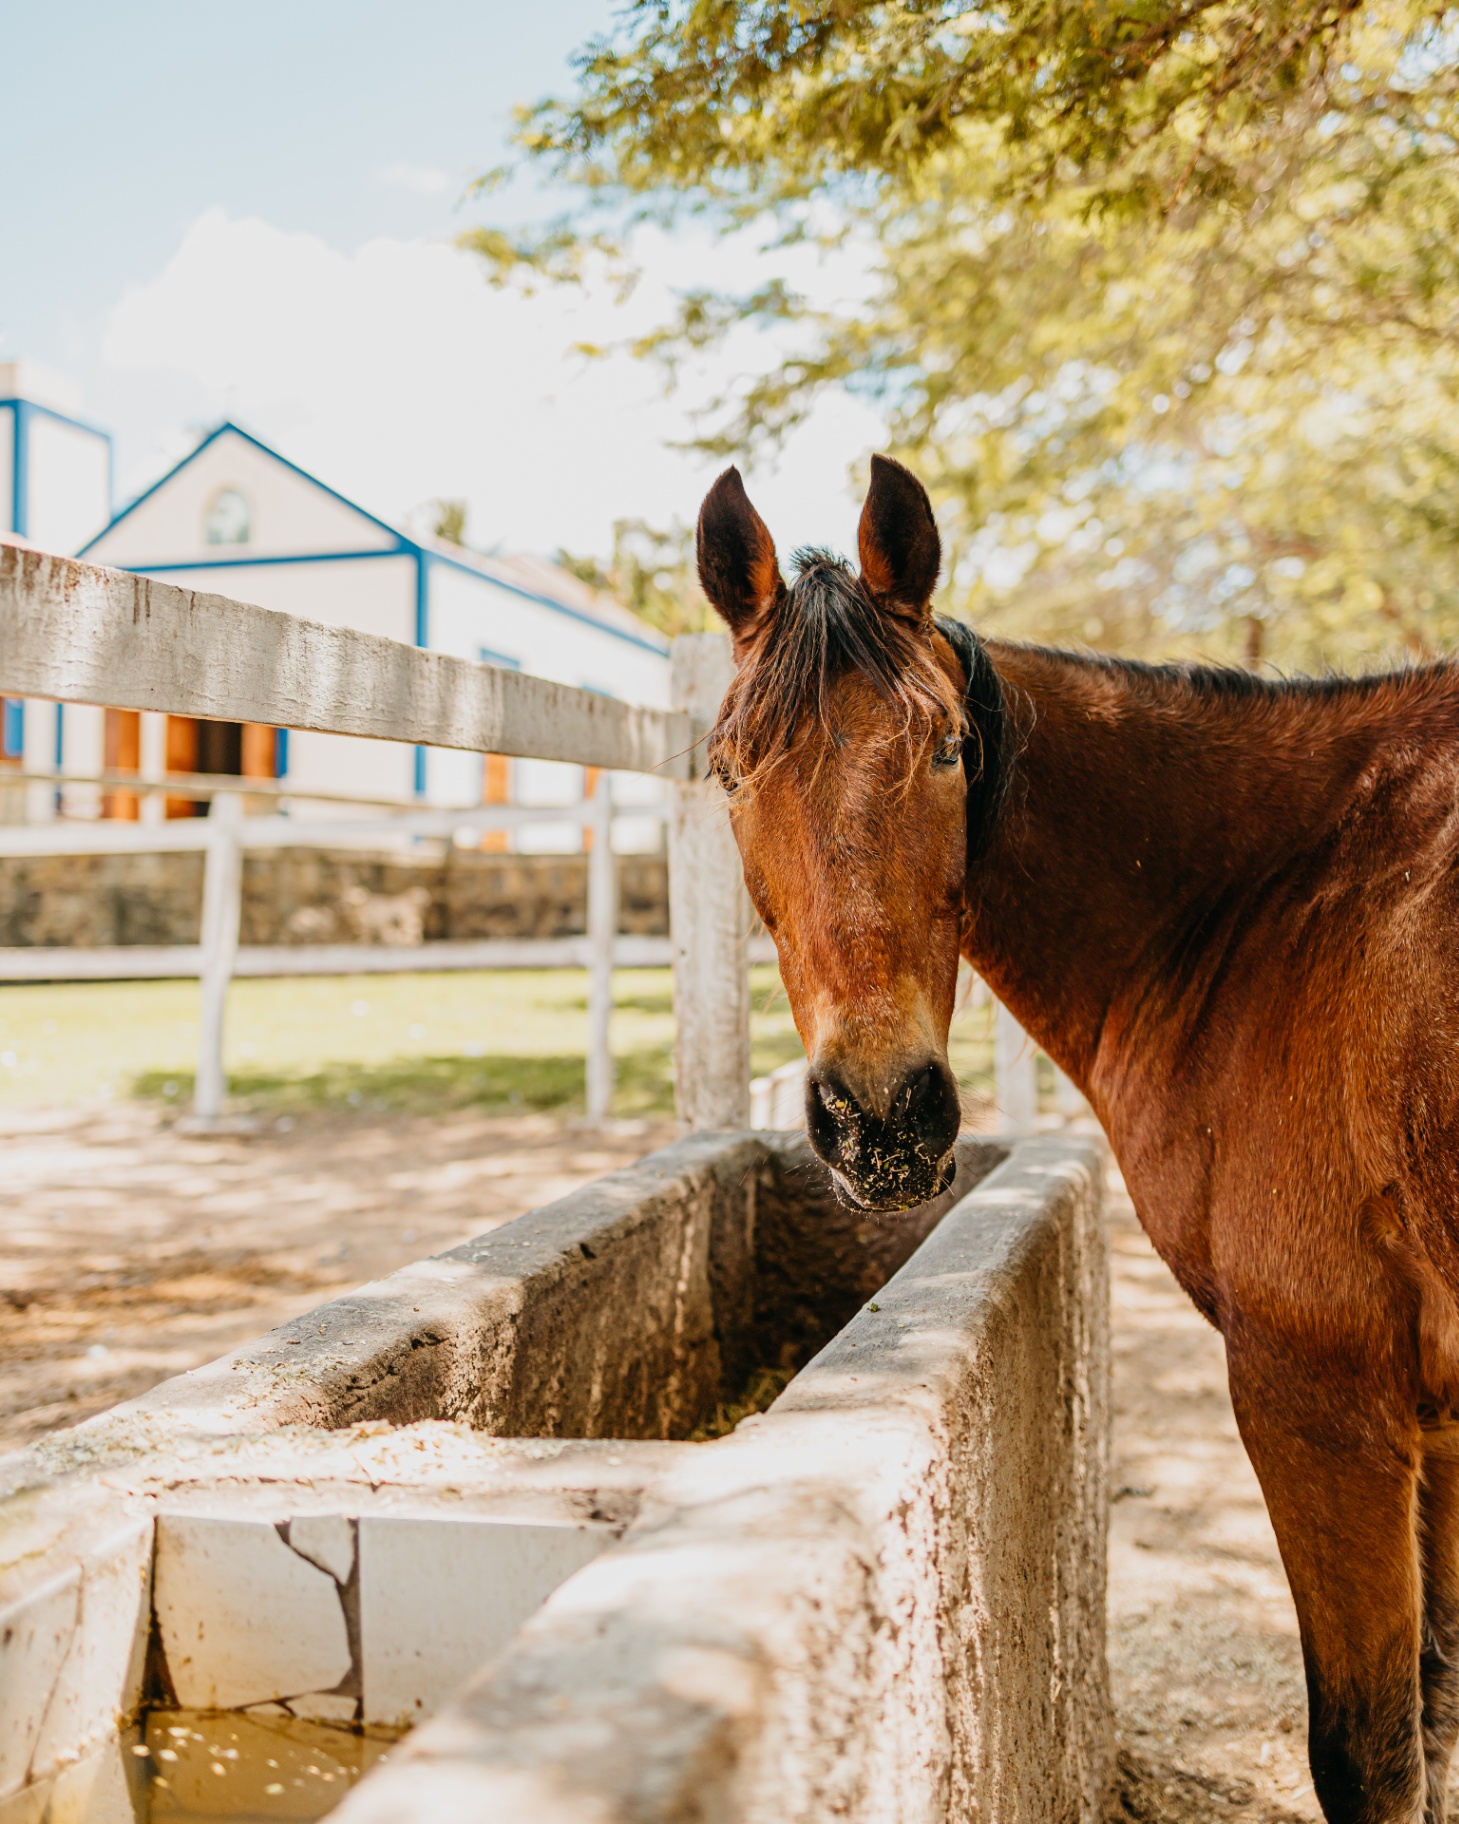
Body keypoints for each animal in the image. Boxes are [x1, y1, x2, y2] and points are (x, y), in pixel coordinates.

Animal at [695, 453, 1459, 1824]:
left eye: (949, 750)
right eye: (729, 772)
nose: (882, 1119)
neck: (1281, 901)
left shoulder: (1318, 1396)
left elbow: (1372, 1754)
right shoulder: (1441, 1426)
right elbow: (1436, 1711)